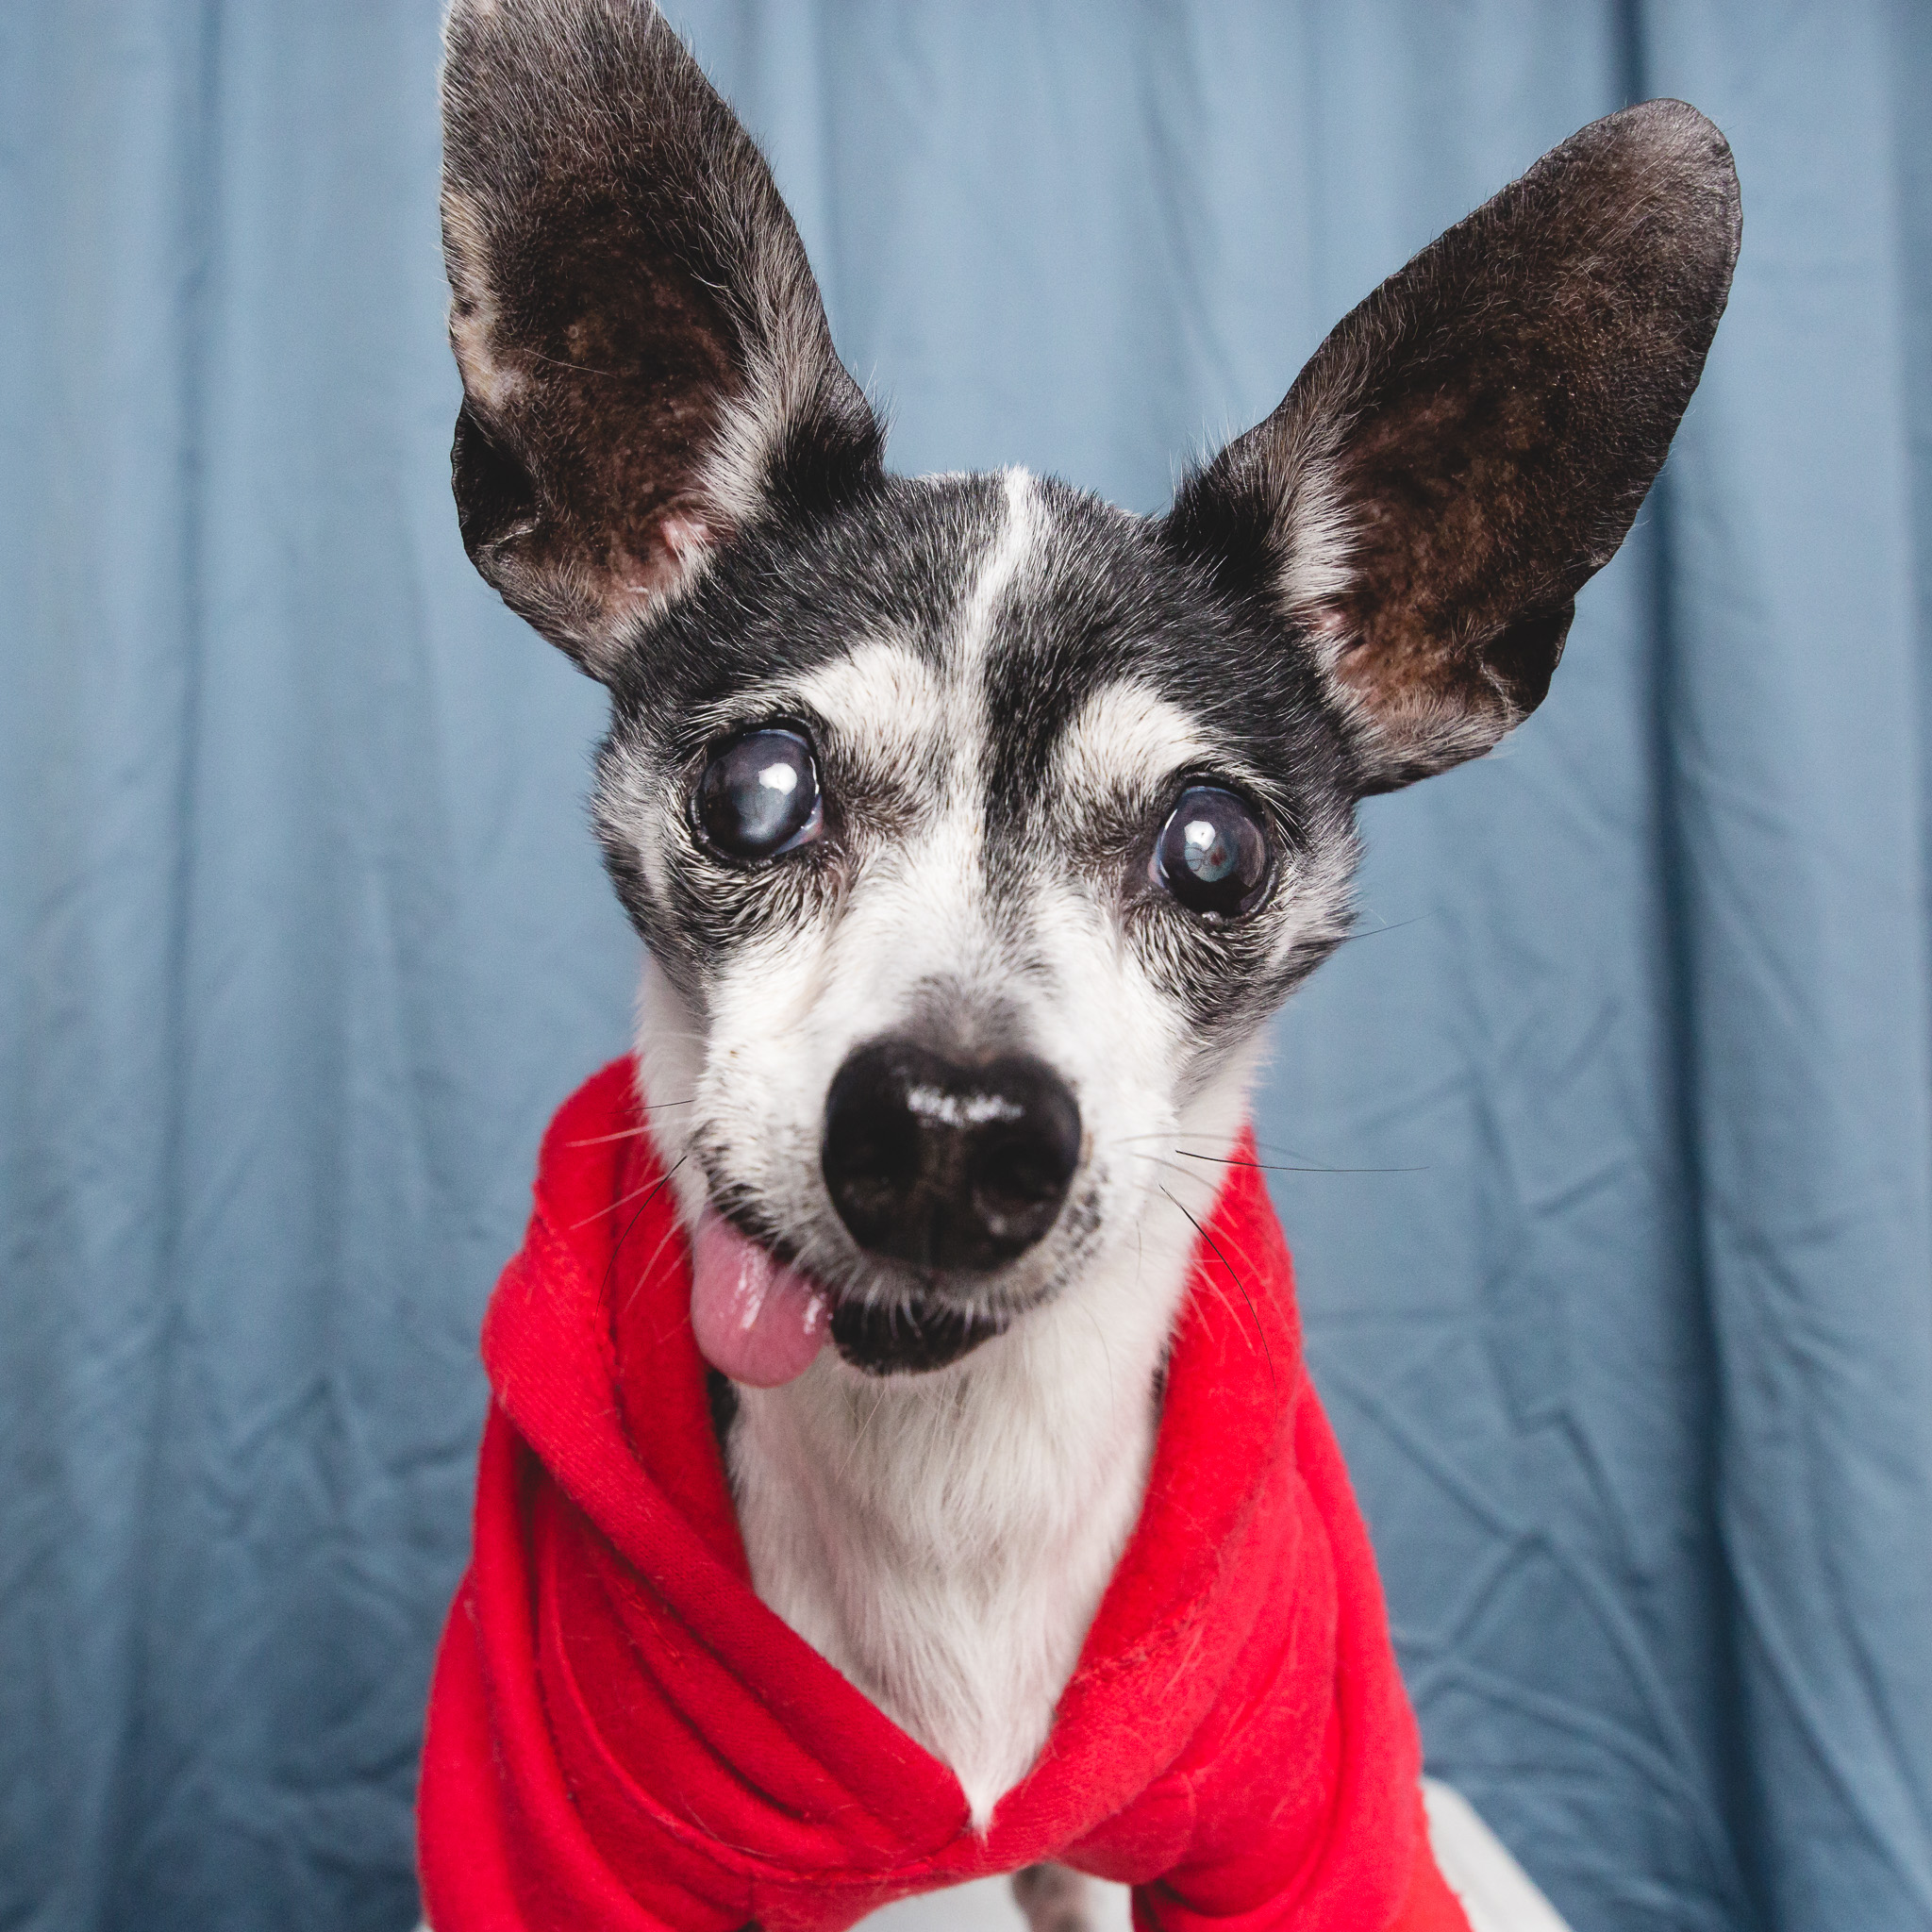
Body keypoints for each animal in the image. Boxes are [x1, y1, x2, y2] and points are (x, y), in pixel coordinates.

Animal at [430, 8, 1746, 1924]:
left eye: (1214, 847)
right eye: (756, 792)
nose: (952, 1127)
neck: (949, 1510)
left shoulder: (1304, 1820)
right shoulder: (561, 1842)